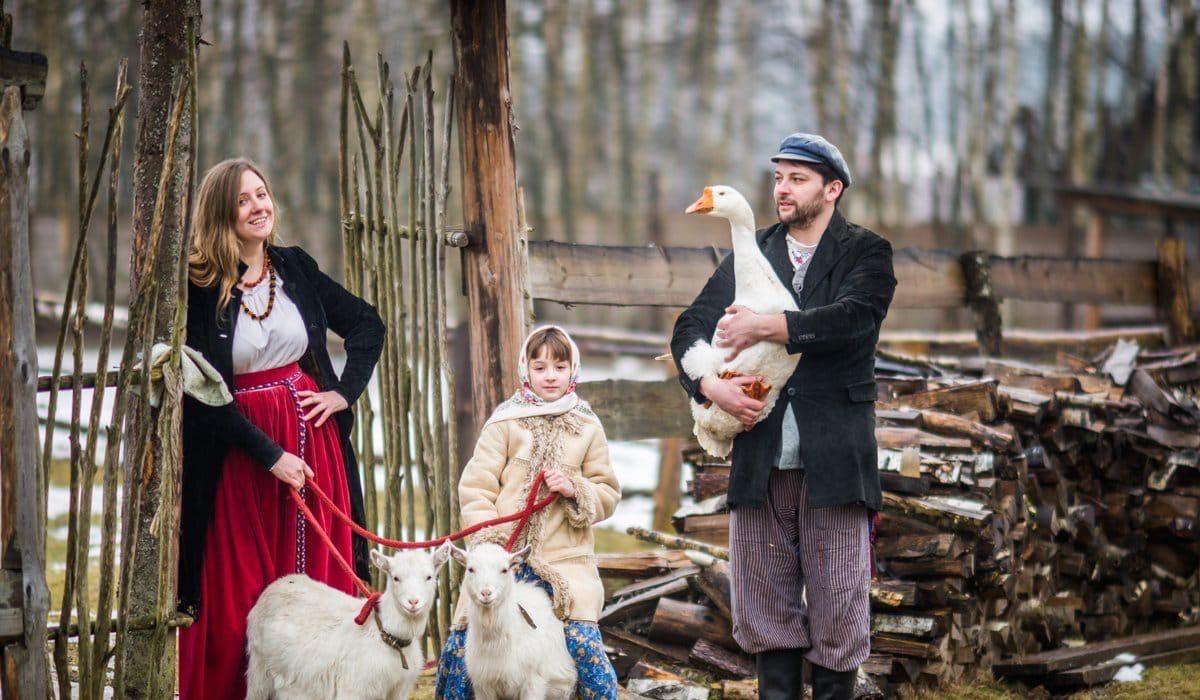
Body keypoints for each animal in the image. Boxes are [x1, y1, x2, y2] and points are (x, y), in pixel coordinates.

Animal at [246, 547, 448, 700]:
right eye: (395, 578)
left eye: (429, 577)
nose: (413, 602)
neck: (388, 637)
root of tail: (279, 583)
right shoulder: (353, 688)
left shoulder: (398, 691)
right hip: (259, 671)